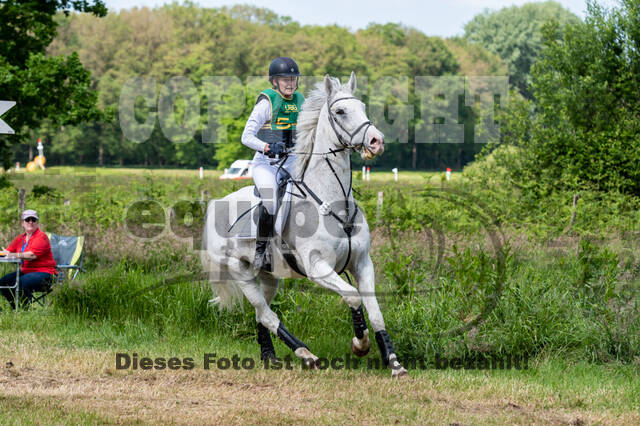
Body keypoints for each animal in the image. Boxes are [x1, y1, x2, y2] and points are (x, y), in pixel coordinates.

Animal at [201, 72, 408, 378]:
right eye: (340, 111)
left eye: (362, 106)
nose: (376, 141)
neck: (334, 203)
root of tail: (215, 205)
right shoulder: (317, 268)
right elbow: (353, 297)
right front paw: (360, 344)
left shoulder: (362, 263)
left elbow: (375, 310)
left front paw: (393, 362)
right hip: (240, 272)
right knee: (266, 314)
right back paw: (306, 354)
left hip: (269, 276)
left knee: (261, 314)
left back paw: (270, 356)